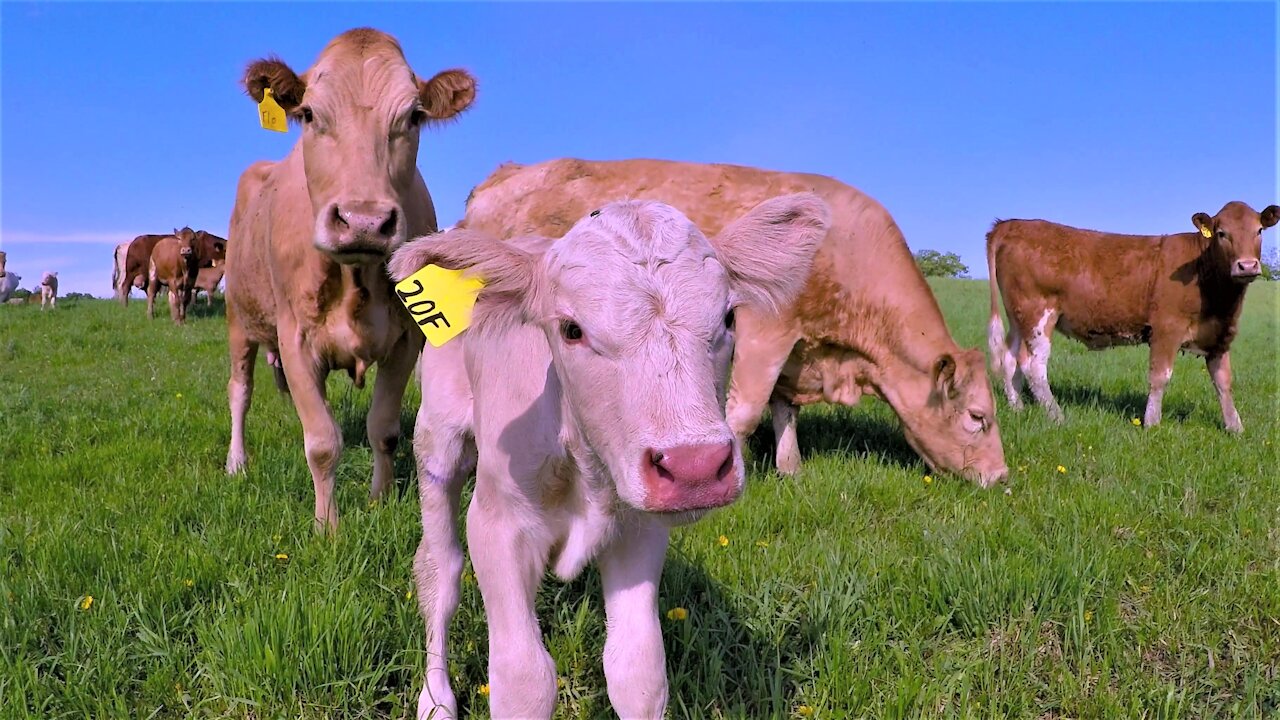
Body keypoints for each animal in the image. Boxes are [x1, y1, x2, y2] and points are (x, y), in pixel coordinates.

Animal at [222, 28, 478, 530]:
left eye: (414, 116)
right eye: (309, 114)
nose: (364, 221)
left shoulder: (406, 339)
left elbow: (385, 430)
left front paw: (380, 501)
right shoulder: (294, 337)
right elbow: (322, 442)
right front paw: (328, 526)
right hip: (239, 317)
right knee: (240, 392)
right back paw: (236, 463)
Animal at [389, 193, 829, 717]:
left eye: (728, 319)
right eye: (571, 329)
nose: (696, 466)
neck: (584, 464)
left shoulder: (640, 529)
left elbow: (639, 670)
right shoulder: (499, 524)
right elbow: (522, 679)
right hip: (437, 438)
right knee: (439, 570)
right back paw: (436, 699)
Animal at [460, 158, 1008, 484]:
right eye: (978, 417)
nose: (1002, 477)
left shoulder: (798, 349)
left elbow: (786, 411)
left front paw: (791, 469)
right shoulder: (765, 330)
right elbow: (743, 412)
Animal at [983, 198, 1274, 427]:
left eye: (1259, 230)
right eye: (1222, 233)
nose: (1247, 265)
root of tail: (1011, 224)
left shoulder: (1220, 333)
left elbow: (1223, 381)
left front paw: (1235, 427)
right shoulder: (1166, 329)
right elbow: (1159, 377)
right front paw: (1151, 423)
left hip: (1018, 316)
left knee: (1010, 358)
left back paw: (1018, 408)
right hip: (1037, 313)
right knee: (1033, 365)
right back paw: (1057, 416)